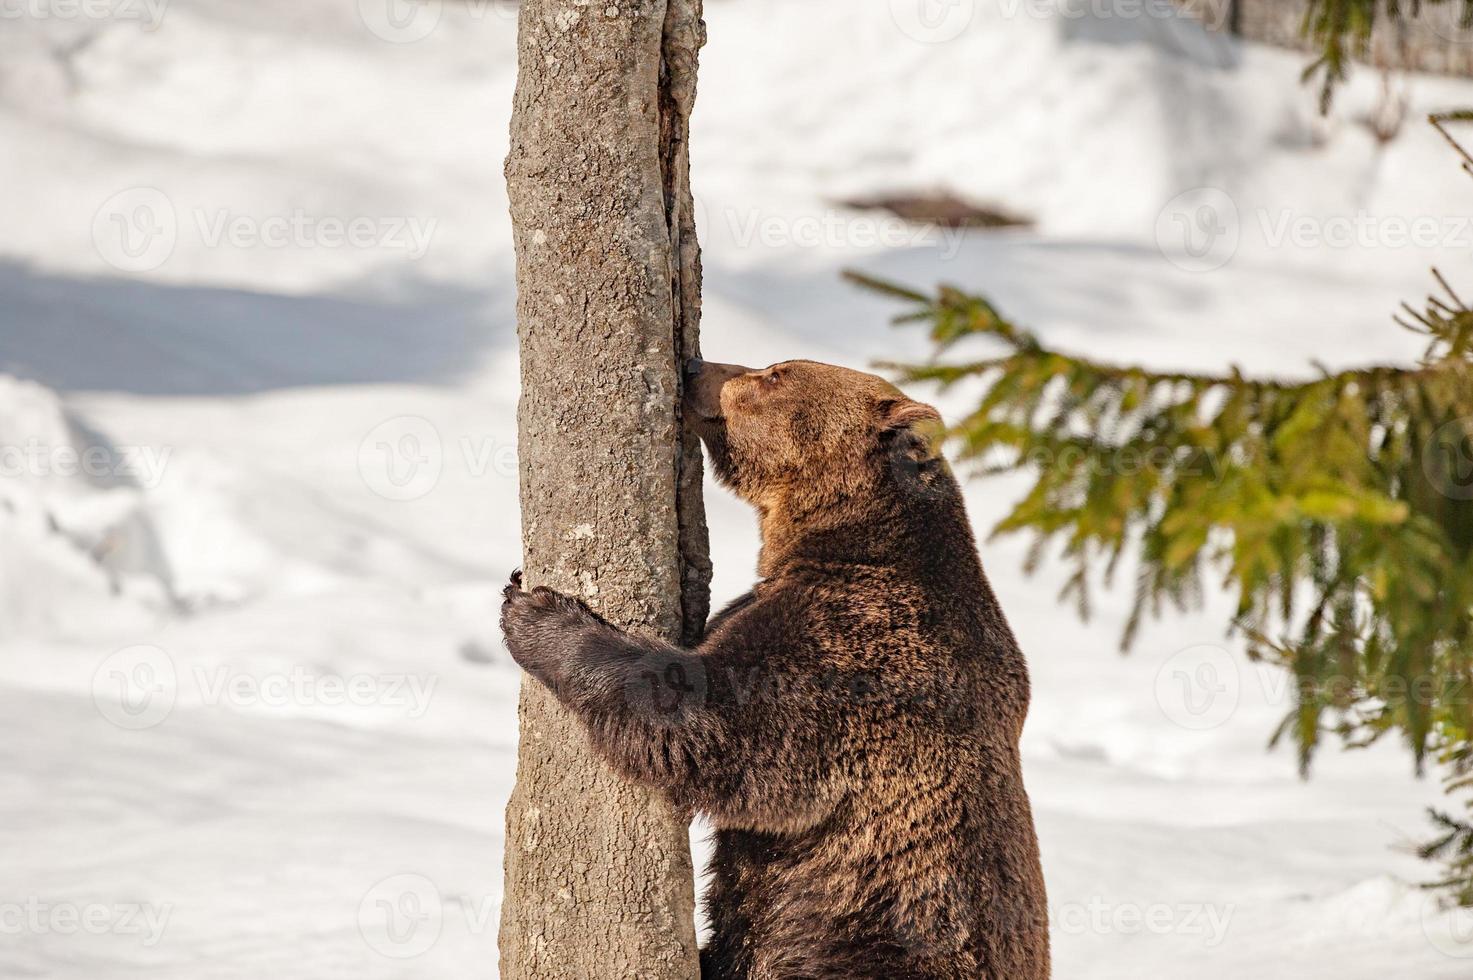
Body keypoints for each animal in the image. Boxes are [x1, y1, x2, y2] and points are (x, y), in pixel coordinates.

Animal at [503, 358, 1048, 978]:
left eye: (776, 373)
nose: (695, 365)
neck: (853, 537)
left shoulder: (853, 651)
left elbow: (709, 715)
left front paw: (535, 612)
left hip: (870, 938)